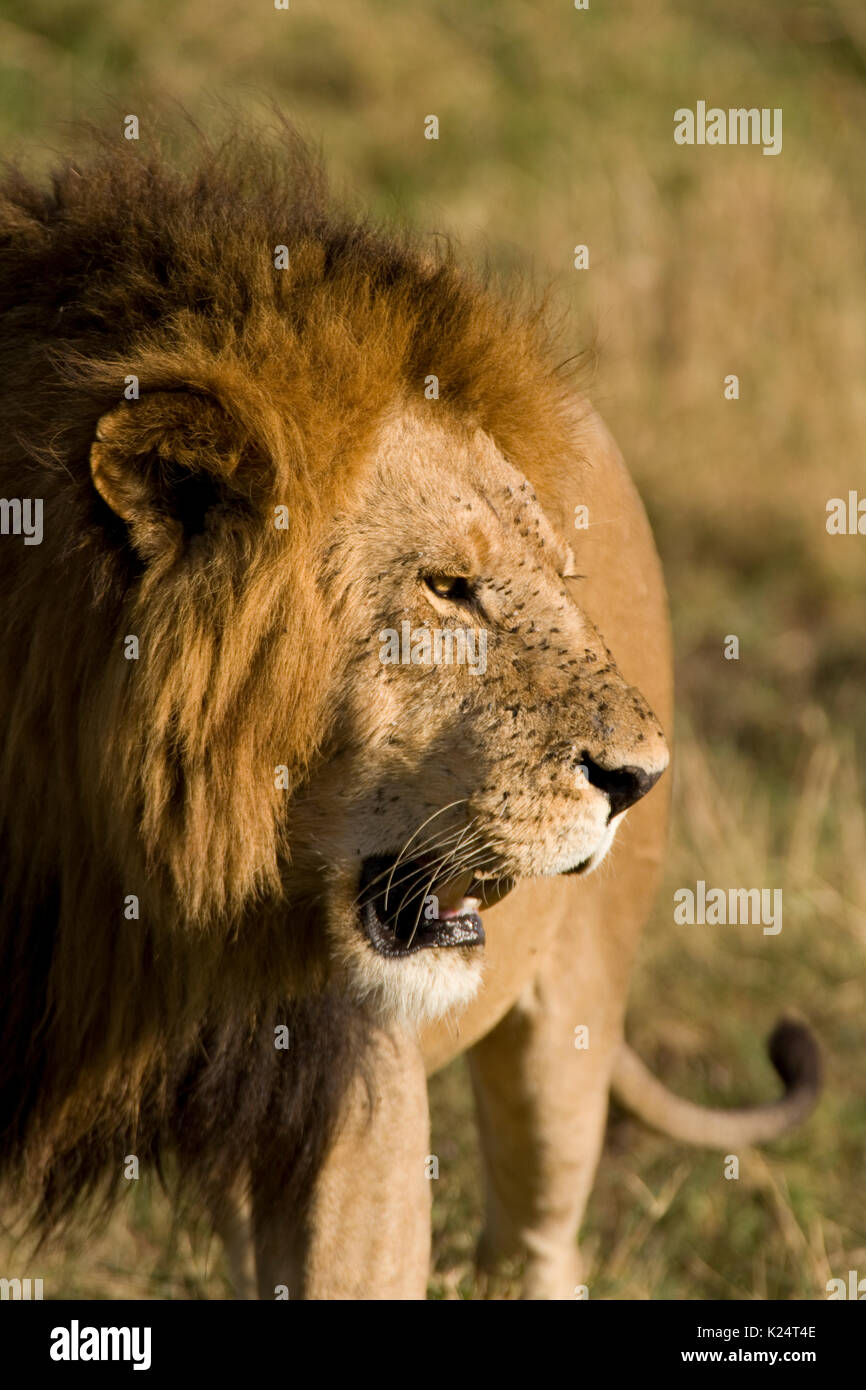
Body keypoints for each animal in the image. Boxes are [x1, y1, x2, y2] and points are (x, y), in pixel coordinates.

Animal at [0, 129, 820, 1300]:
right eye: (444, 587)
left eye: (552, 571)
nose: (639, 778)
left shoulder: (356, 1088)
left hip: (568, 1031)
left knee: (539, 1234)